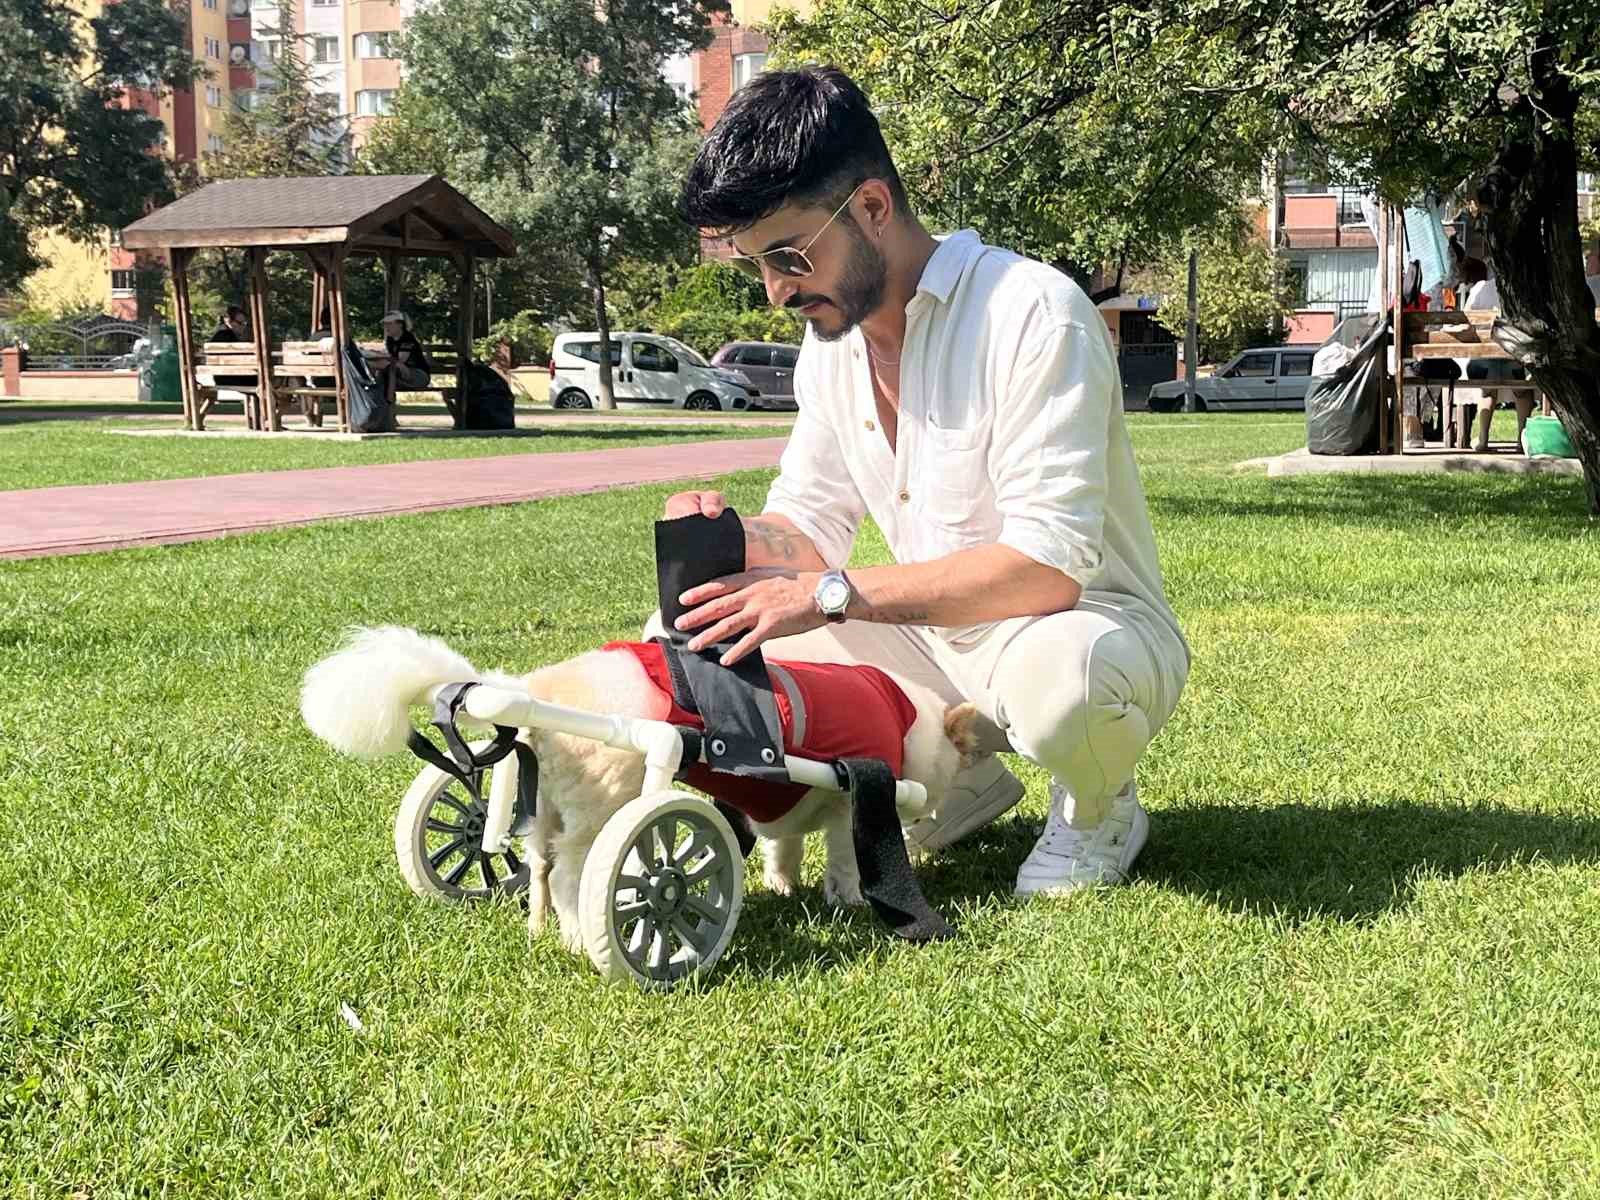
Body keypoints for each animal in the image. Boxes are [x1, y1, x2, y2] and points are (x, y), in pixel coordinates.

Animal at [299, 630, 972, 960]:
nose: (932, 812)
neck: (907, 715)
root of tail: (538, 694)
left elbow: (784, 849)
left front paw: (785, 886)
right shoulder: (853, 800)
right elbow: (845, 857)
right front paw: (850, 900)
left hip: (545, 807)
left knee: (534, 864)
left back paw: (541, 927)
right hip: (607, 806)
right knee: (572, 878)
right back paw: (580, 935)